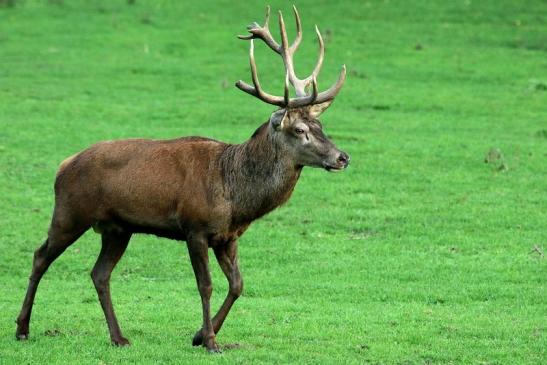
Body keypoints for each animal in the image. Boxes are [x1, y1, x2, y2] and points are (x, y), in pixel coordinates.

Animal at [17, 6, 354, 352]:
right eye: (300, 130)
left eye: (321, 126)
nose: (342, 157)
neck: (236, 196)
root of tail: (63, 165)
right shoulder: (195, 228)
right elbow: (205, 285)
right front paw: (210, 341)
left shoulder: (228, 236)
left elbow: (238, 284)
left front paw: (200, 335)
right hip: (70, 213)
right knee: (40, 256)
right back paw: (23, 328)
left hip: (117, 229)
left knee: (99, 273)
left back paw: (119, 337)